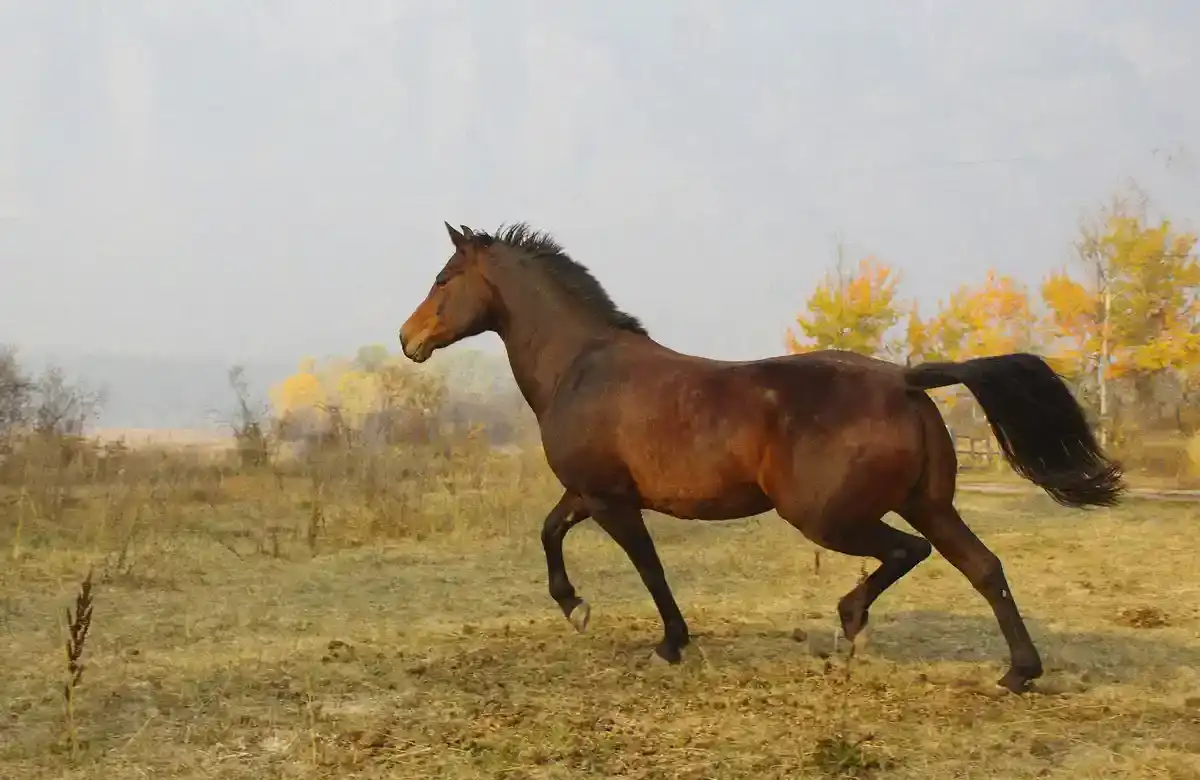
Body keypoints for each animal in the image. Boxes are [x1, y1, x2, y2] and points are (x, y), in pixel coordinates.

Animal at [398, 221, 1125, 694]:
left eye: (444, 278)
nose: (407, 339)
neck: (581, 365)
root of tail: (904, 381)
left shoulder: (610, 501)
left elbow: (649, 568)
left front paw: (668, 643)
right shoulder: (591, 493)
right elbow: (550, 532)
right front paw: (575, 608)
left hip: (827, 517)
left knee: (905, 553)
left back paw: (850, 625)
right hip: (930, 504)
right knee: (984, 567)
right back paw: (1017, 672)